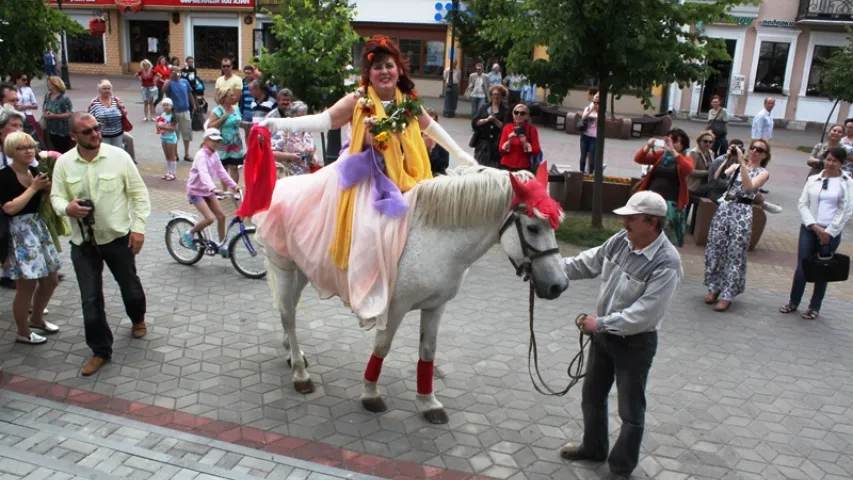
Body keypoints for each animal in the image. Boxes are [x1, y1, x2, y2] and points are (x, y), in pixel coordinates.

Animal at [262, 166, 568, 424]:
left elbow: (428, 351)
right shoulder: (394, 308)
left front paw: (428, 402)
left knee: (287, 310)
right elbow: (382, 347)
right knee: (289, 316)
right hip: (285, 269)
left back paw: (292, 353)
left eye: (554, 227)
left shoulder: (436, 306)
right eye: (532, 227)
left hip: (302, 271)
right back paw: (300, 374)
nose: (559, 286)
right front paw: (371, 393)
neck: (436, 239)